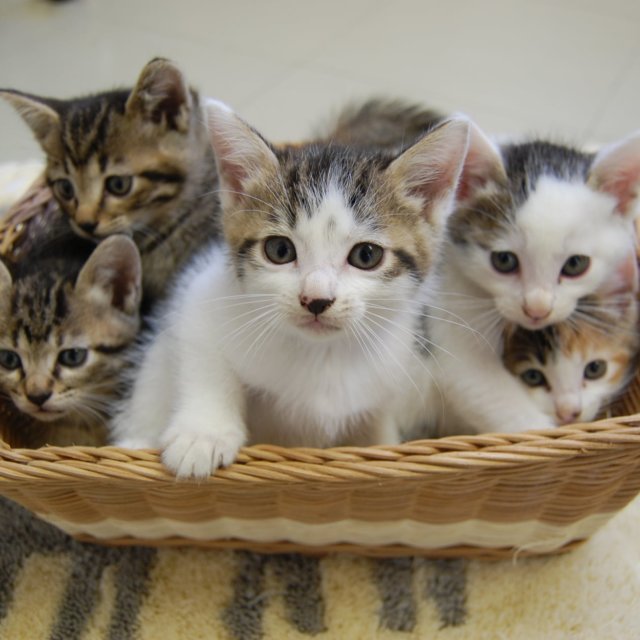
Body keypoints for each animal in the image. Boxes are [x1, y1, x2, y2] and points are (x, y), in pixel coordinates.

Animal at [111, 100, 471, 478]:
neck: (321, 355)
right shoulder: (201, 297)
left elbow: (376, 432)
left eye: (366, 255)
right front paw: (202, 434)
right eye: (280, 250)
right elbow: (206, 362)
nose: (316, 300)